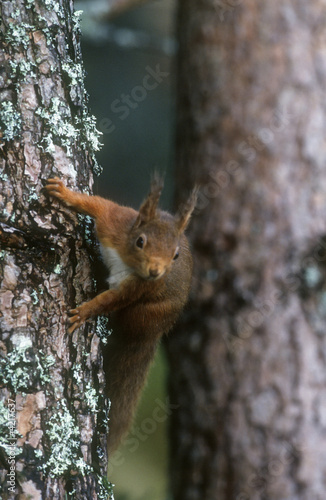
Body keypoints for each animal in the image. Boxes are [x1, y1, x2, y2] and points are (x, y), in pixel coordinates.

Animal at [45, 174, 197, 452]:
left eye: (175, 255)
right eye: (141, 242)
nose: (155, 272)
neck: (126, 258)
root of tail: (154, 332)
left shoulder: (138, 287)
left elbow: (109, 301)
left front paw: (83, 313)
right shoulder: (114, 221)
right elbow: (96, 204)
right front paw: (64, 193)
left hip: (147, 312)